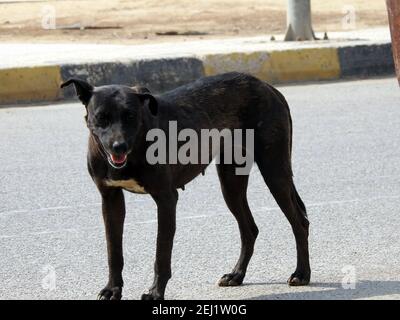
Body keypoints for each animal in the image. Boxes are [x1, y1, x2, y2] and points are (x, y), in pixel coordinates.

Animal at [61, 71, 310, 298]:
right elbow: (114, 252)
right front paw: (113, 289)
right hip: (231, 184)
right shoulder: (110, 199)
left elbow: (161, 253)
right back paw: (237, 274)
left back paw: (302, 273)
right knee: (249, 228)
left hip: (275, 173)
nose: (118, 146)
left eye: (130, 116)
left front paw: (155, 292)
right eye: (101, 118)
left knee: (299, 222)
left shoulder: (166, 199)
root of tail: (268, 87)